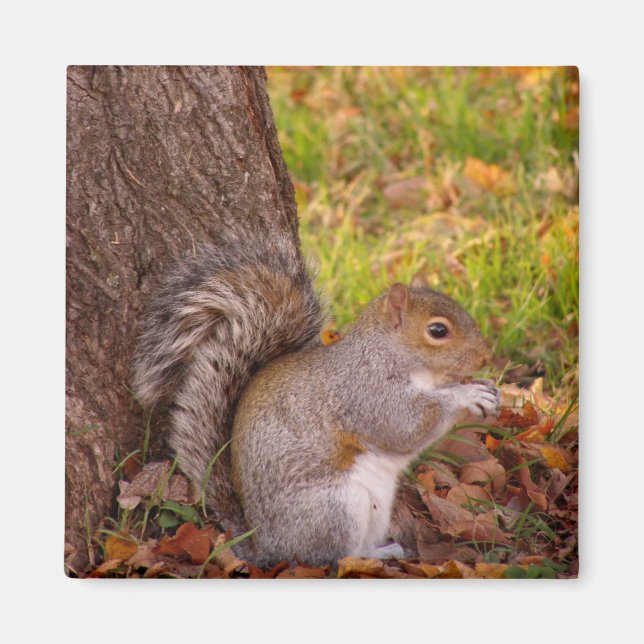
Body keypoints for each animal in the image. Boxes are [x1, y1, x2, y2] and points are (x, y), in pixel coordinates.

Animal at [132, 235, 499, 568]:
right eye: (438, 331)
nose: (486, 357)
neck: (390, 355)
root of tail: (265, 547)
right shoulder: (365, 392)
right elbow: (405, 426)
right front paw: (467, 395)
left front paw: (487, 387)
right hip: (335, 509)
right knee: (330, 558)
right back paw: (371, 559)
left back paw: (385, 550)